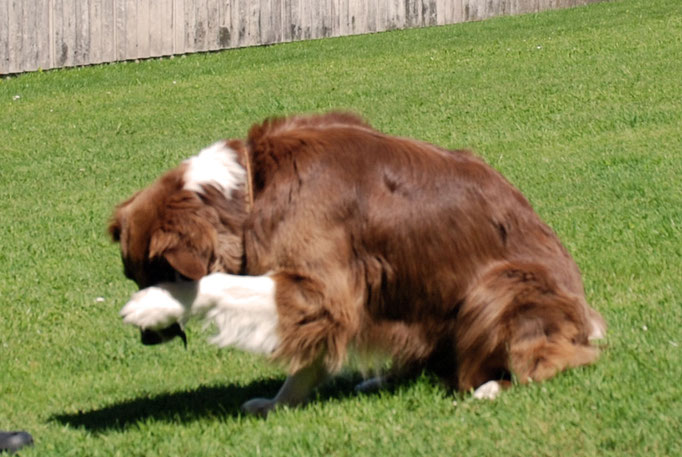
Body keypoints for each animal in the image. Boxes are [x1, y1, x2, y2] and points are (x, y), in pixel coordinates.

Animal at [111, 112, 604, 416]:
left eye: (156, 272)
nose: (148, 341)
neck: (253, 188)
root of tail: (587, 318)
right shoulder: (327, 297)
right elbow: (308, 358)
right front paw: (278, 404)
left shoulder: (324, 286)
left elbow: (215, 284)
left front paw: (154, 304)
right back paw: (382, 379)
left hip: (503, 285)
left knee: (549, 359)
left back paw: (489, 387)